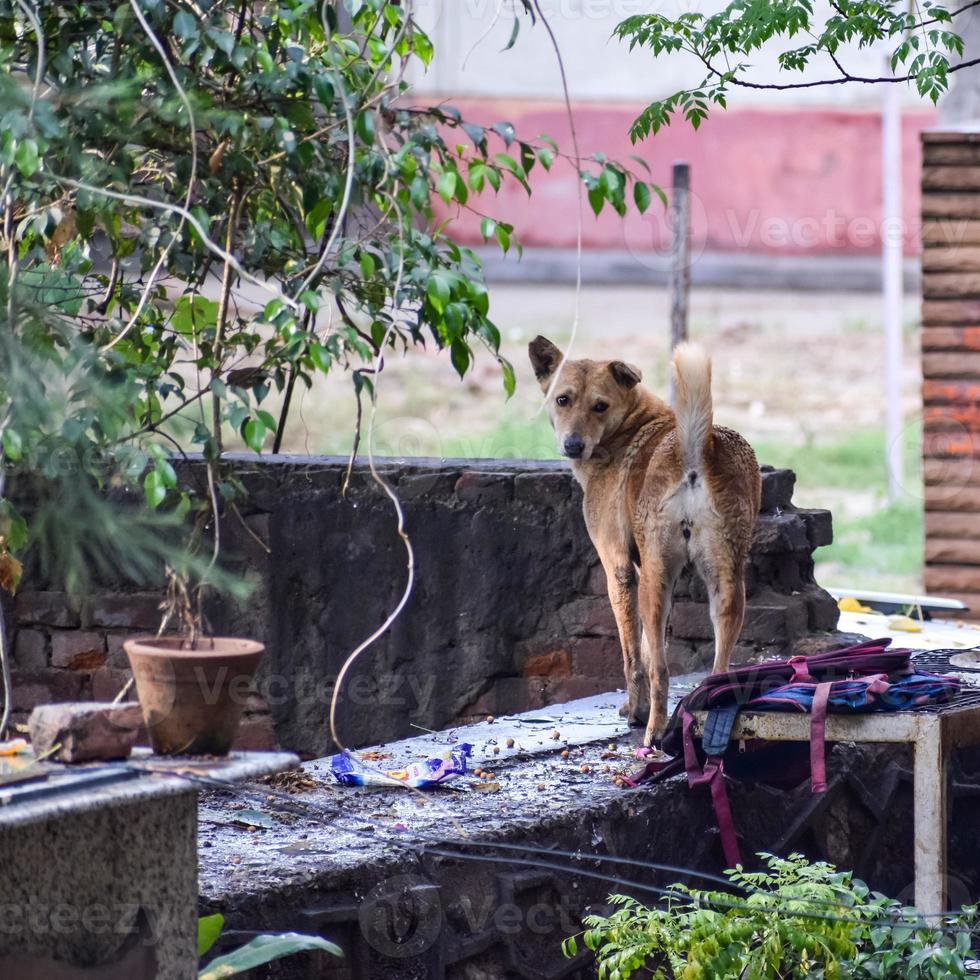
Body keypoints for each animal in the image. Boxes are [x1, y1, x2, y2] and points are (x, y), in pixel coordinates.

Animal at [524, 336, 760, 744]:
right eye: (563, 399)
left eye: (600, 405)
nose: (573, 445)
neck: (630, 426)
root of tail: (699, 449)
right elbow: (651, 646)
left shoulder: (619, 569)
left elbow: (634, 654)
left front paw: (635, 709)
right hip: (724, 583)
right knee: (717, 665)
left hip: (654, 581)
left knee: (660, 671)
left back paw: (653, 731)